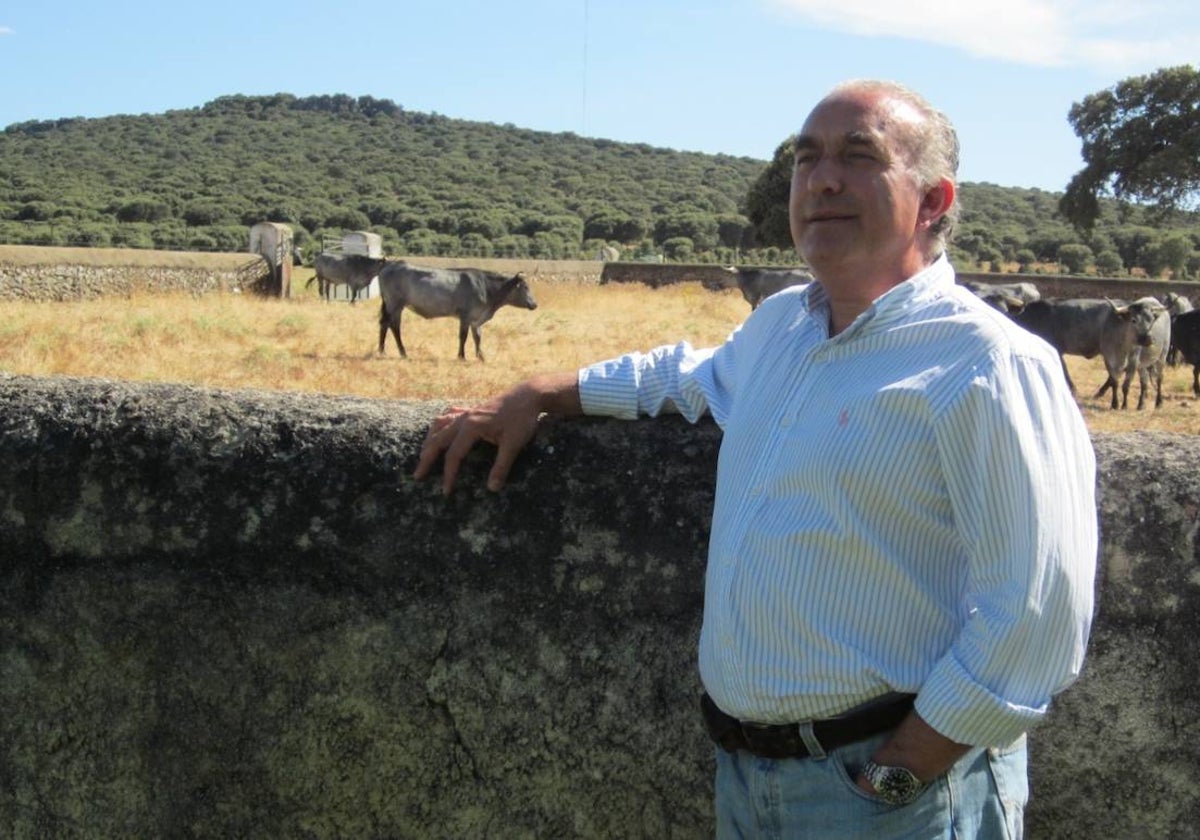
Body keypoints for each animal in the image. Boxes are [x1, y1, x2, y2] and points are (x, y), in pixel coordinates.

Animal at [379, 262, 540, 360]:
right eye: (525, 287)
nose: (535, 304)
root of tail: (391, 264)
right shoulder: (466, 316)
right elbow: (463, 336)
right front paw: (461, 356)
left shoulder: (476, 318)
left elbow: (477, 337)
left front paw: (481, 356)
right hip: (395, 304)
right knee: (393, 326)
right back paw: (400, 352)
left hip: (391, 304)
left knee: (384, 324)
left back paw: (382, 351)